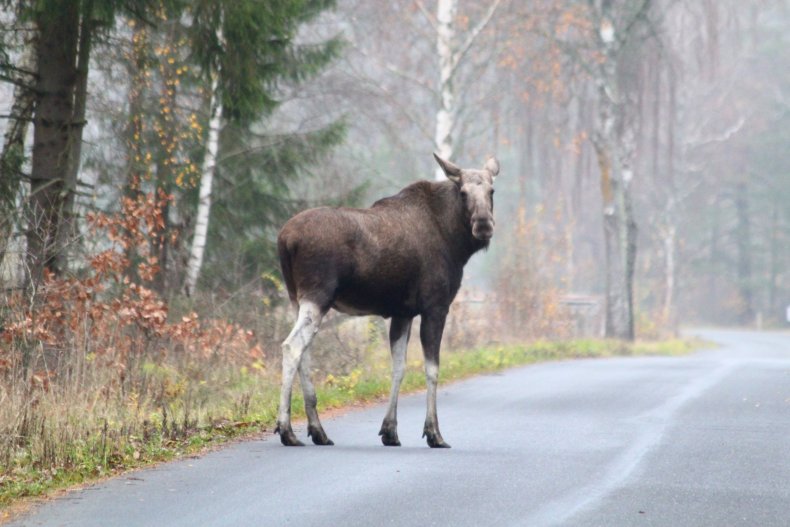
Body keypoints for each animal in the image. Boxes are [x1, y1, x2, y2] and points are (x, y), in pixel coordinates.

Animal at [276, 153, 502, 450]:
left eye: (491, 191)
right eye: (463, 192)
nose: (484, 224)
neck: (455, 241)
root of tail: (285, 240)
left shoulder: (402, 312)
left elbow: (399, 367)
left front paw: (390, 431)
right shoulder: (435, 306)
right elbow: (432, 369)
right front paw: (434, 433)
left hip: (296, 298)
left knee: (304, 352)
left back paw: (318, 431)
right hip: (318, 295)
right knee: (291, 347)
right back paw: (287, 430)